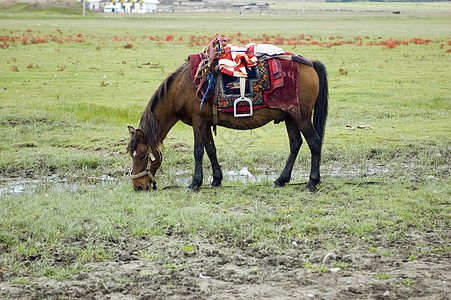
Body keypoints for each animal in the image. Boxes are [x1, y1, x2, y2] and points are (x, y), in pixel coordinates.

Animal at [127, 57, 328, 191]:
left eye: (143, 155)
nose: (138, 186)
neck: (181, 88)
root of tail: (310, 63)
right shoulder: (205, 123)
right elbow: (211, 150)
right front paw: (216, 180)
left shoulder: (198, 122)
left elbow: (198, 152)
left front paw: (194, 184)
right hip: (290, 117)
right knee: (295, 144)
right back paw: (281, 180)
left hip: (301, 117)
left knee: (314, 143)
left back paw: (311, 182)